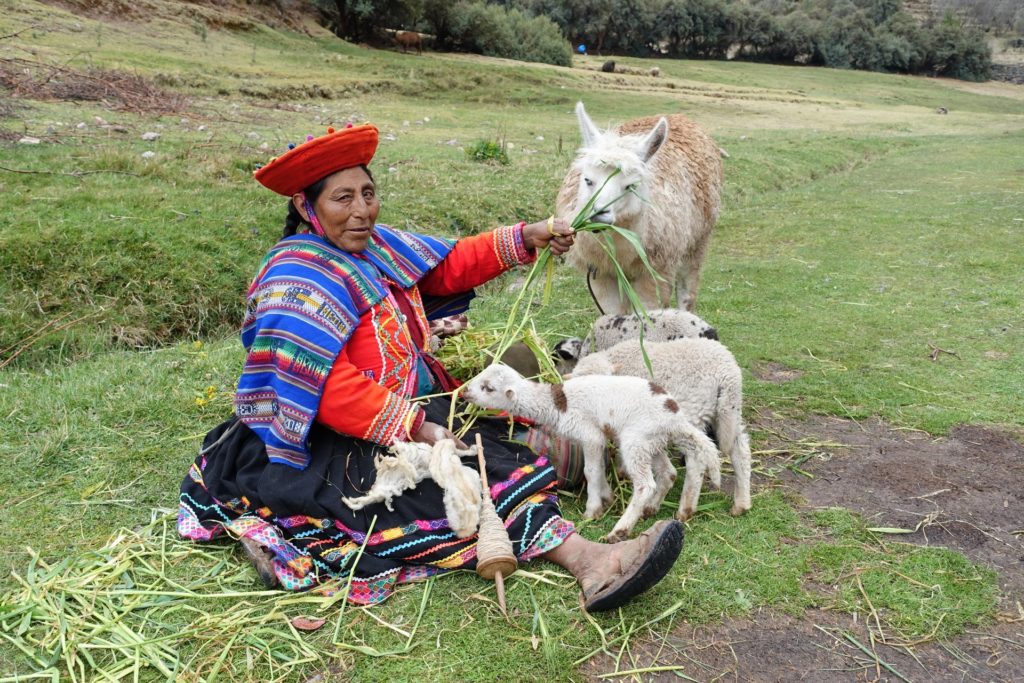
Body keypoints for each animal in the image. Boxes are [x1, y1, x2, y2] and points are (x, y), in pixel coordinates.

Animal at [464, 360, 720, 540]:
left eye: (488, 388)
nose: (465, 392)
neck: (557, 404)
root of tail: (674, 416)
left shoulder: (590, 434)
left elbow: (591, 471)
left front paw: (593, 509)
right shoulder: (594, 438)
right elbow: (597, 468)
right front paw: (606, 497)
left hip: (636, 440)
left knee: (646, 484)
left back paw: (620, 530)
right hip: (652, 441)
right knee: (669, 473)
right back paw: (660, 509)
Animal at [577, 339, 753, 520]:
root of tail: (728, 374)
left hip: (691, 412)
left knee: (696, 458)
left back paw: (685, 509)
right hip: (729, 411)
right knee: (740, 451)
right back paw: (741, 503)